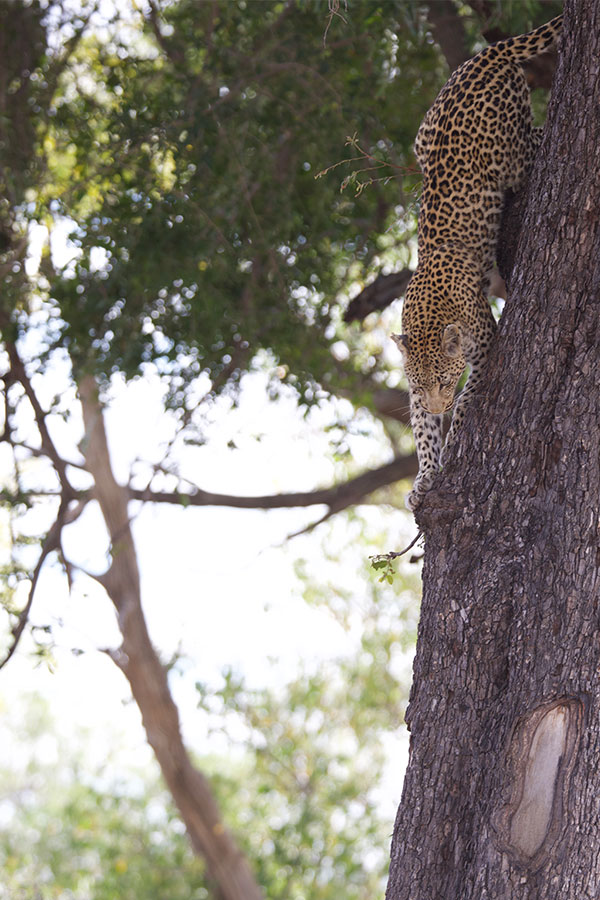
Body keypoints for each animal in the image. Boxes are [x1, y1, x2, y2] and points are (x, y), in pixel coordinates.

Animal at [394, 14, 564, 510]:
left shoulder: (487, 347)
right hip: (421, 140)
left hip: (512, 158)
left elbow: (471, 398)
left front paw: (453, 439)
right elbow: (421, 433)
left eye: (444, 381)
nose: (438, 405)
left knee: (536, 139)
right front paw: (424, 476)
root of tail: (484, 56)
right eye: (420, 387)